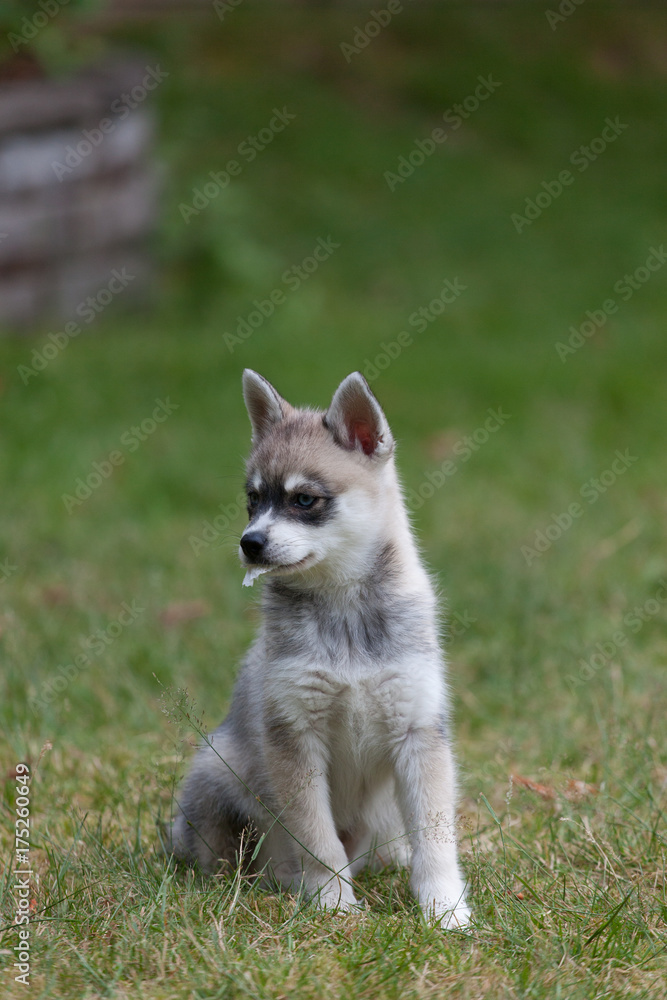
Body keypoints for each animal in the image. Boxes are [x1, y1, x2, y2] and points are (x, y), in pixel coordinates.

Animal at [170, 370, 472, 928]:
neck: (343, 606)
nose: (249, 543)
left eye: (304, 499)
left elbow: (435, 836)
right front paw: (334, 905)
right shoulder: (294, 735)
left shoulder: (418, 730)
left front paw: (445, 908)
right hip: (216, 768)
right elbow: (317, 838)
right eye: (252, 499)